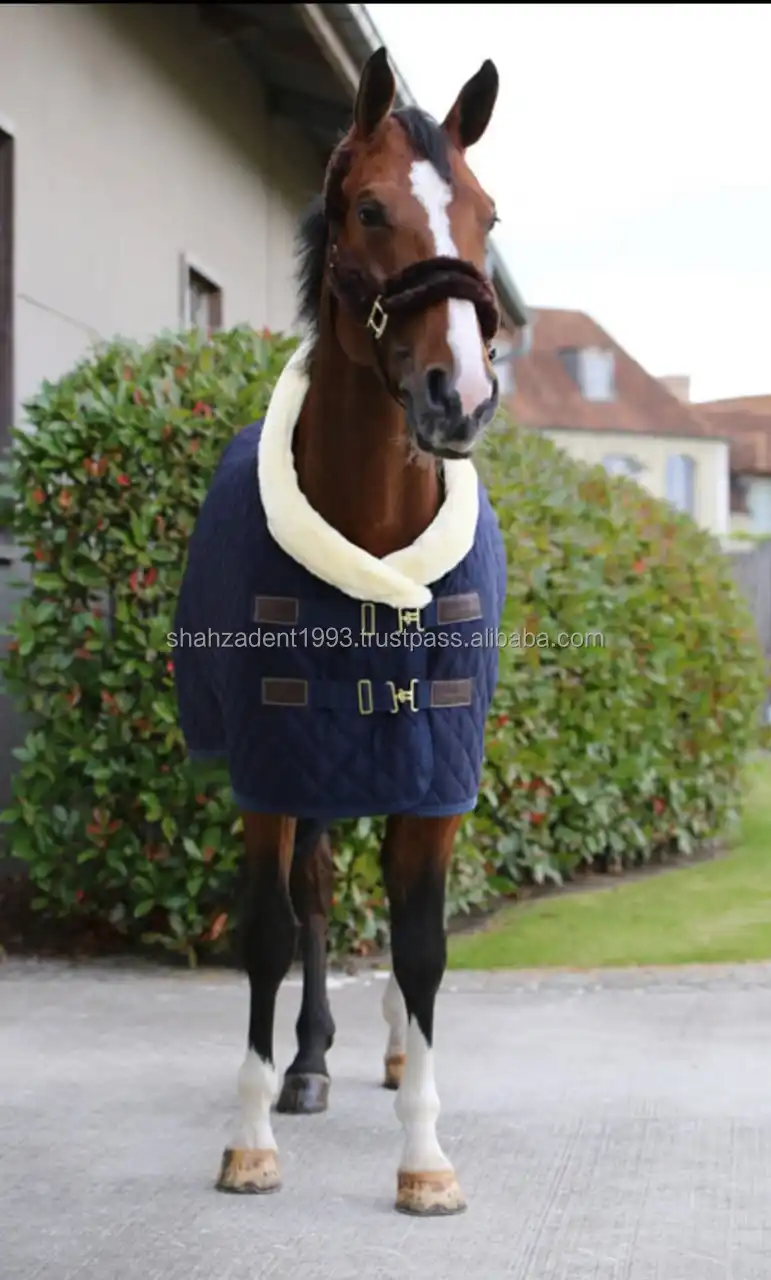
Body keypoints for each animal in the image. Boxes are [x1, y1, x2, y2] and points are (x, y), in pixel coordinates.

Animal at [173, 46, 507, 1217]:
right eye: (369, 208)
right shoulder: (274, 766)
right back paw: (309, 1064)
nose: (462, 396)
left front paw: (427, 1158)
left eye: (488, 216)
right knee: (315, 900)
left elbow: (422, 942)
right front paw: (249, 1137)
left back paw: (401, 1055)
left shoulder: (437, 767)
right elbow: (273, 929)